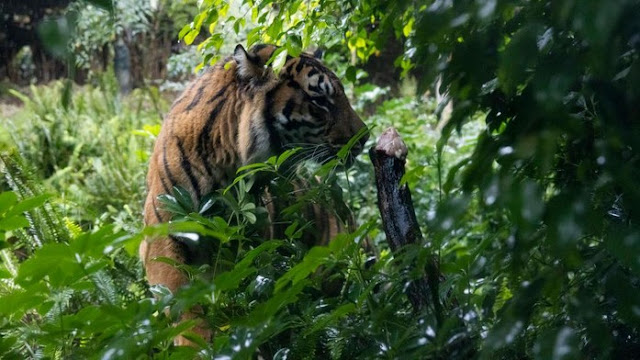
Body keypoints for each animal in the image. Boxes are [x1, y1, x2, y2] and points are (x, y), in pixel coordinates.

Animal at [142, 44, 368, 346]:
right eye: (320, 100)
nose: (364, 138)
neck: (227, 161)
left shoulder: (254, 238)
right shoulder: (163, 234)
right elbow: (182, 298)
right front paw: (198, 342)